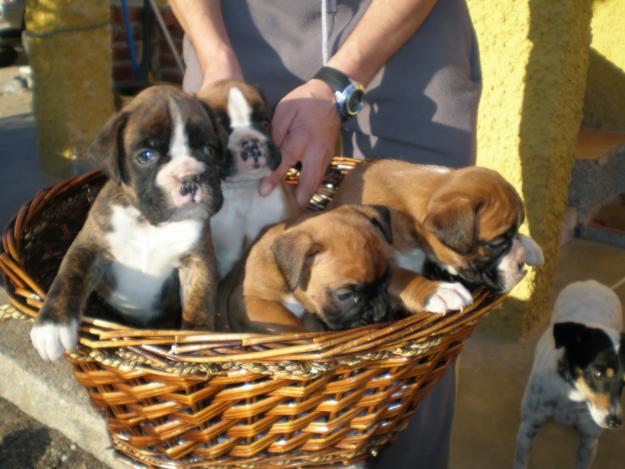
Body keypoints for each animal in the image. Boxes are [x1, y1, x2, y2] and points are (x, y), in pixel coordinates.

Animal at [29, 86, 224, 360]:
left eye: (208, 149)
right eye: (146, 156)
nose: (190, 177)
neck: (149, 223)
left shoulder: (197, 261)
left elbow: (199, 300)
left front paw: (196, 341)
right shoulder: (89, 247)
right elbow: (69, 277)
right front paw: (52, 326)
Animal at [330, 160, 544, 314]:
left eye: (516, 230)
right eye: (495, 244)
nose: (520, 263)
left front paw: (527, 245)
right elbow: (402, 276)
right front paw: (438, 290)